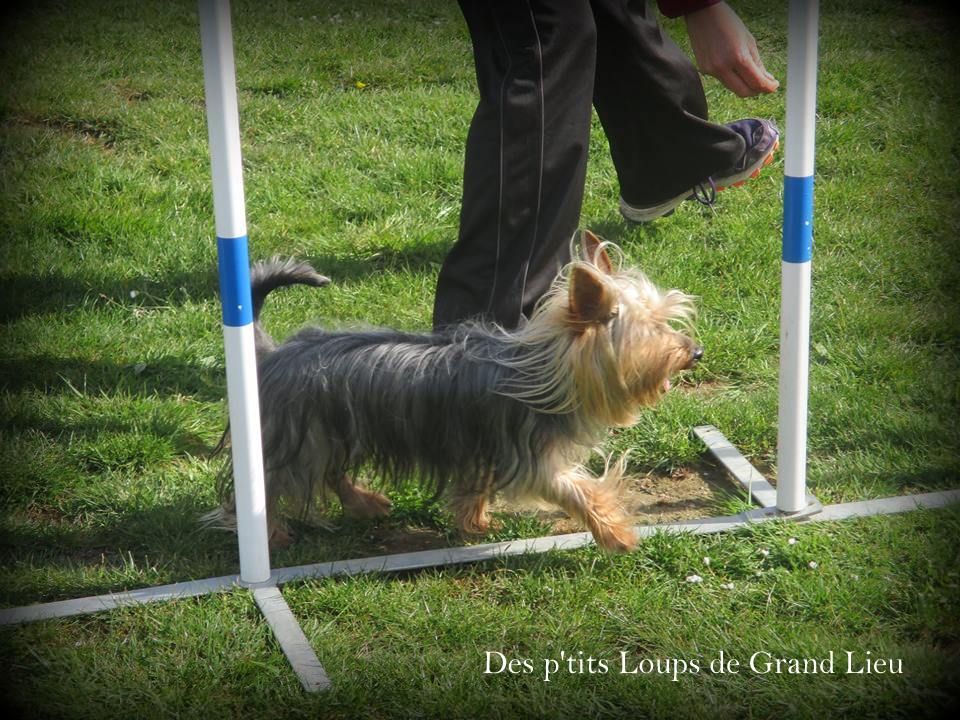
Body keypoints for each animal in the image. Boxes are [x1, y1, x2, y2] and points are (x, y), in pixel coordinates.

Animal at [214, 231, 700, 552]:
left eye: (668, 320)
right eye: (650, 333)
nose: (695, 351)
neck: (543, 371)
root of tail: (272, 352)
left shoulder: (483, 448)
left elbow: (474, 489)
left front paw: (476, 523)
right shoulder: (532, 457)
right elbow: (580, 491)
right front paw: (617, 535)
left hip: (331, 433)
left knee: (333, 473)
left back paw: (366, 504)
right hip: (298, 439)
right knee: (267, 486)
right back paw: (270, 535)